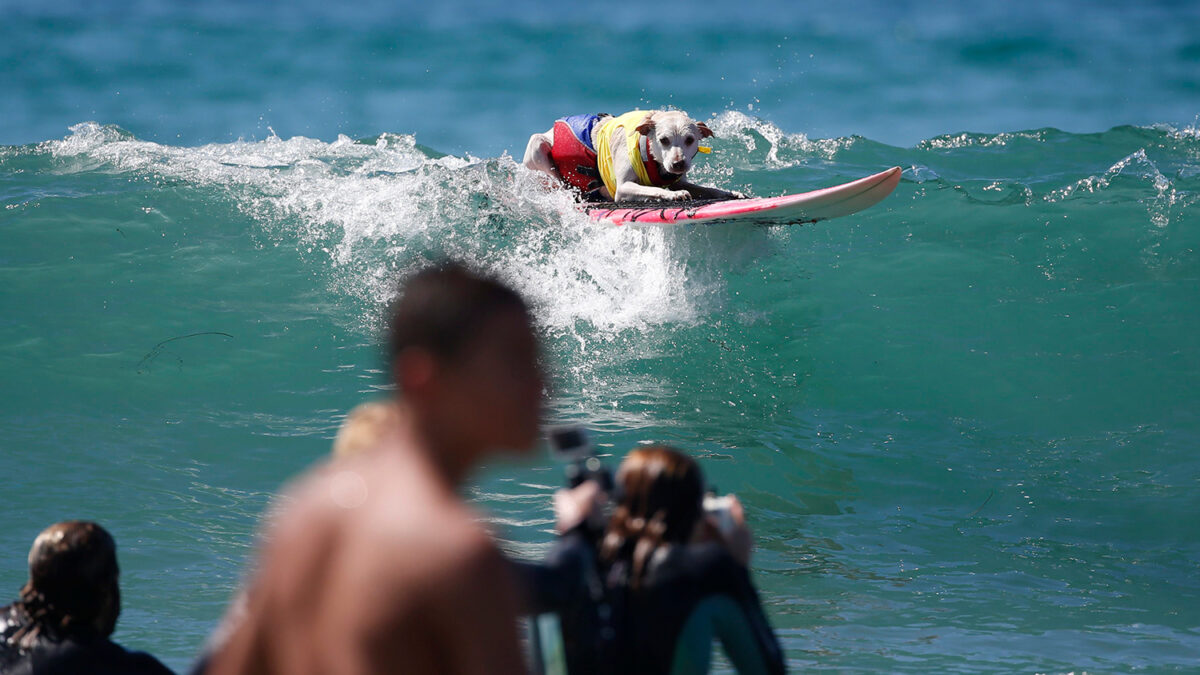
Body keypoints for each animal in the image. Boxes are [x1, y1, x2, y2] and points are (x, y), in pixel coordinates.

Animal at [523, 109, 739, 199]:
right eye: (664, 140)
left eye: (690, 140)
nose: (678, 164)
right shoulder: (624, 187)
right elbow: (654, 189)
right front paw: (673, 195)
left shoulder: (679, 180)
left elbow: (708, 189)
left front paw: (731, 193)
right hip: (537, 145)